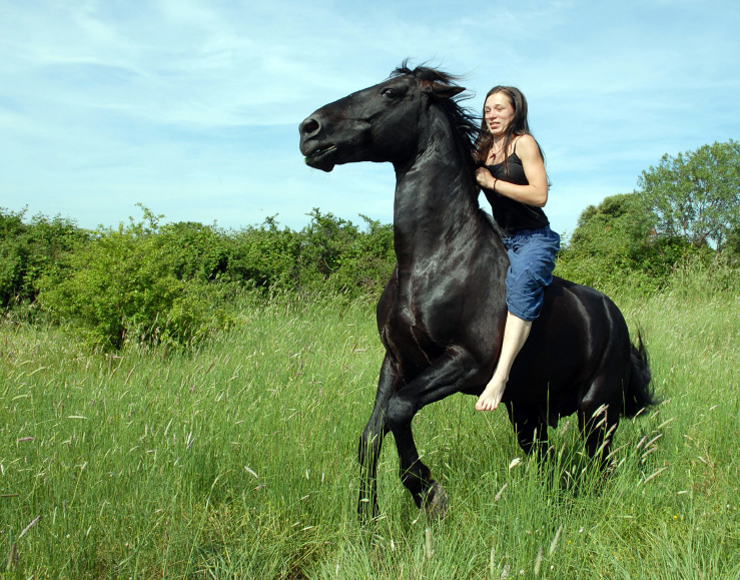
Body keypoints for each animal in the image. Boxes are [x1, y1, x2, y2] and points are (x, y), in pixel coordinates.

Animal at [298, 64, 655, 520]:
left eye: (391, 92)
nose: (309, 130)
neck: (432, 261)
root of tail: (614, 317)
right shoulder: (397, 362)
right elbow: (371, 436)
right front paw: (368, 520)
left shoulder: (467, 362)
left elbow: (399, 411)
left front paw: (428, 494)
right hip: (529, 412)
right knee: (551, 461)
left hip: (596, 410)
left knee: (599, 464)